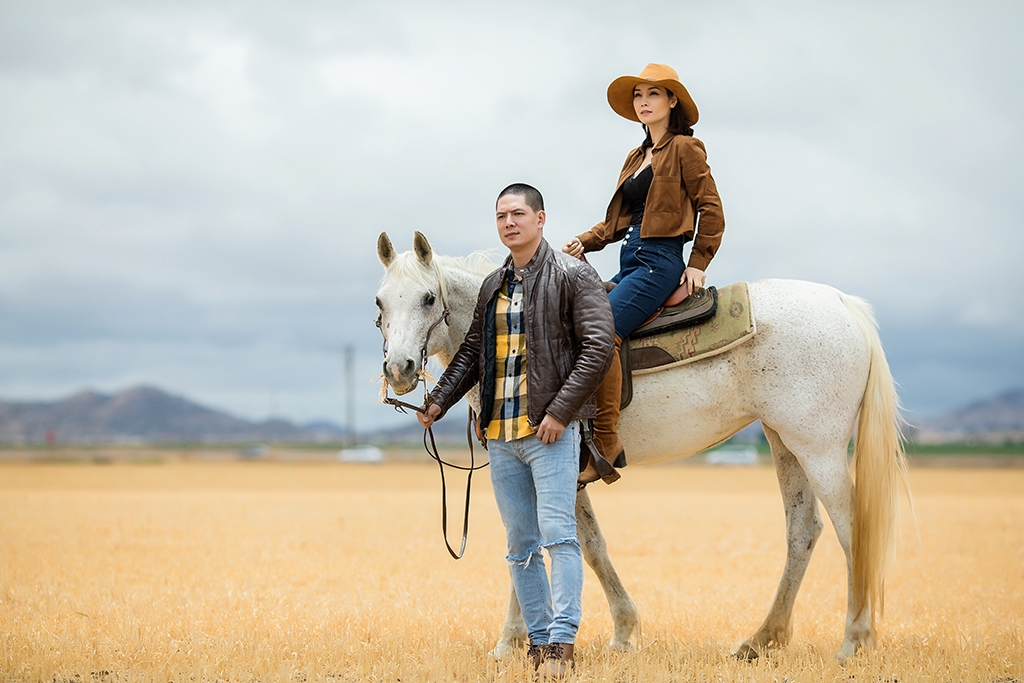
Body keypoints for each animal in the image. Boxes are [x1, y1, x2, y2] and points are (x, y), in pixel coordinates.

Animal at [376, 232, 913, 659]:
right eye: (381, 303)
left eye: (428, 298)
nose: (400, 369)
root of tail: (843, 302)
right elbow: (584, 545)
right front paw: (620, 632)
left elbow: (538, 544)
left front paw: (511, 642)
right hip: (785, 442)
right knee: (803, 531)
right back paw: (762, 639)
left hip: (818, 448)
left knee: (852, 530)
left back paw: (853, 641)